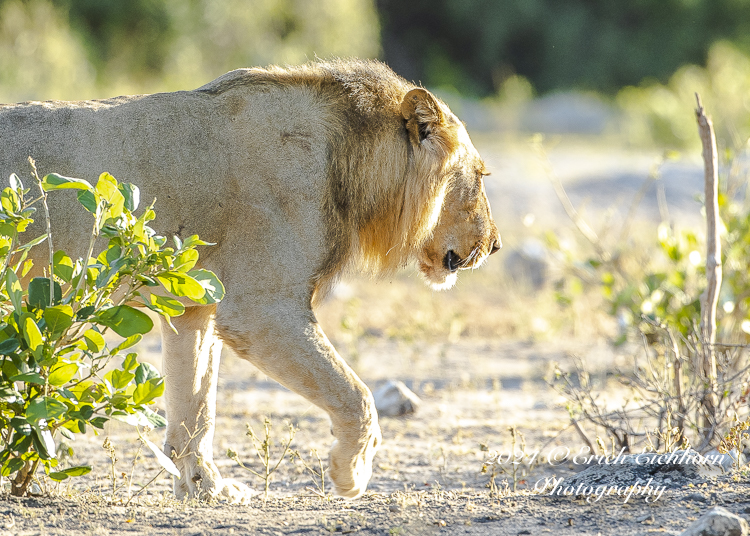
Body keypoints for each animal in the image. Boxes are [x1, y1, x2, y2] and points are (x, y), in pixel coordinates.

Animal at [4, 59, 506, 502]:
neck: (350, 165)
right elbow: (354, 393)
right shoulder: (260, 310)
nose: (497, 245)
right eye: (480, 176)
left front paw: (207, 489)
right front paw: (352, 473)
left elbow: (195, 411)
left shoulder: (195, 309)